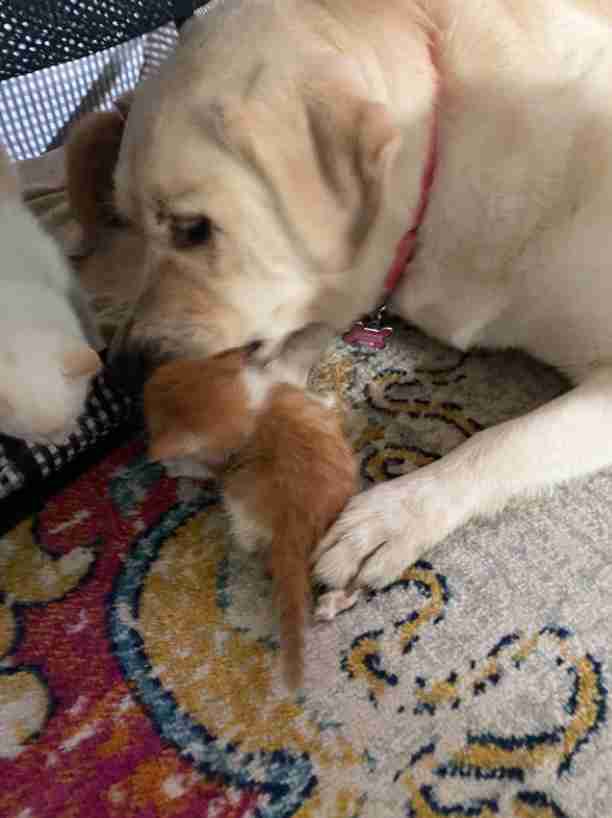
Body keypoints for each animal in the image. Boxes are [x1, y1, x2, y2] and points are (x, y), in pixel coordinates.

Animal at [145, 346, 358, 688]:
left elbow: (199, 467)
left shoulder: (221, 464)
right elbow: (325, 402)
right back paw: (332, 603)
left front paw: (174, 465)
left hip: (237, 505)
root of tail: (292, 520)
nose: (150, 374)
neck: (250, 407)